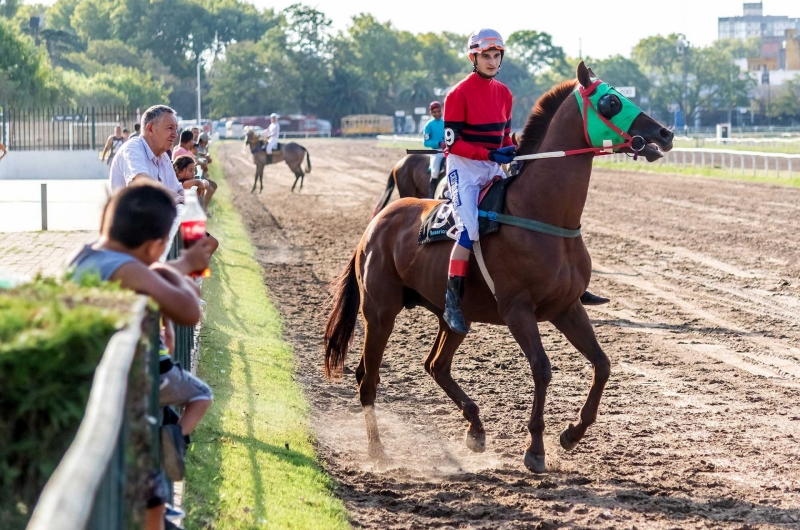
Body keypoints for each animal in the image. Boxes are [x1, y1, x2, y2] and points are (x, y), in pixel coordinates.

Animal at [322, 62, 672, 470]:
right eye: (611, 102)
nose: (664, 134)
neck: (543, 215)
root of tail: (374, 226)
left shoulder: (567, 307)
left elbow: (602, 364)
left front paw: (572, 433)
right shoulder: (517, 309)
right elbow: (542, 368)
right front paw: (535, 448)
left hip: (452, 316)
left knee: (435, 365)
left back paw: (475, 428)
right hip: (380, 311)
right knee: (368, 377)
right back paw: (378, 451)